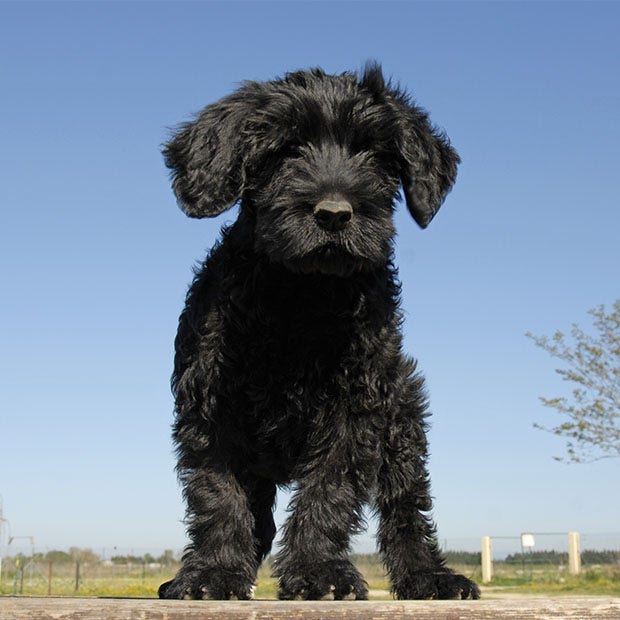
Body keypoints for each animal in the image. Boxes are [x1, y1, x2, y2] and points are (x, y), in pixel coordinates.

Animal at [160, 64, 480, 600]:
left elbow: (329, 491)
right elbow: (218, 494)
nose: (334, 213)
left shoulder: (356, 408)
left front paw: (319, 572)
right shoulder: (210, 407)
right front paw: (212, 573)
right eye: (286, 149)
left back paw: (429, 576)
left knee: (406, 509)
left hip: (403, 421)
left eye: (374, 152)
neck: (302, 296)